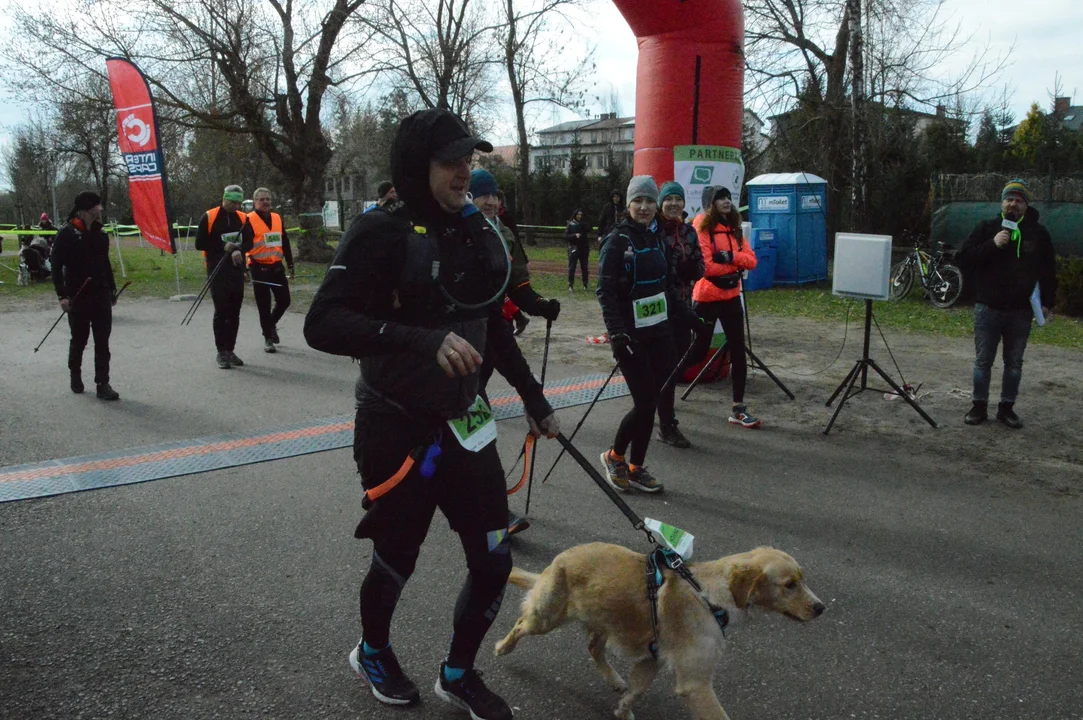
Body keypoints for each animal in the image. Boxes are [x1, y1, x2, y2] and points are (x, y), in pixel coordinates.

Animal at [496, 541, 823, 714]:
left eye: (802, 579)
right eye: (789, 585)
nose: (821, 608)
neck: (710, 595)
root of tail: (558, 558)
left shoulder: (651, 658)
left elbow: (636, 692)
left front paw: (623, 710)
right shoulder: (695, 683)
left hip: (606, 618)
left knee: (593, 648)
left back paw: (614, 679)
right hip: (547, 616)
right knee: (521, 623)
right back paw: (502, 646)